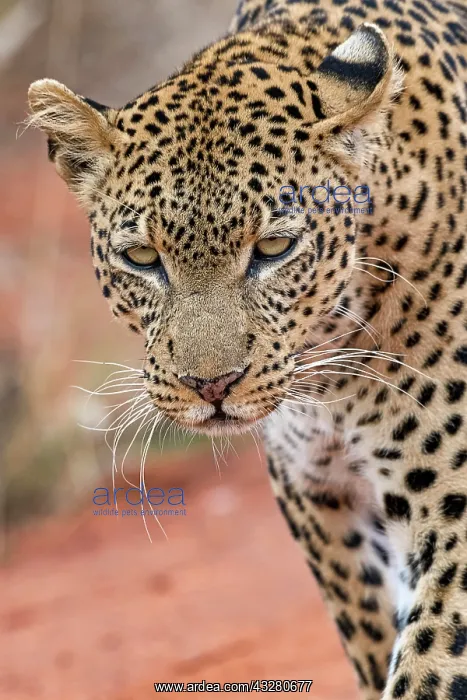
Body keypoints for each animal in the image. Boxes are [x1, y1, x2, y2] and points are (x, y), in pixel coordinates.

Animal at [27, 0, 467, 697]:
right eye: (142, 258)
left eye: (274, 249)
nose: (211, 386)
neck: (333, 377)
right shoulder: (315, 493)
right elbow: (374, 638)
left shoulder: (451, 495)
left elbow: (430, 658)